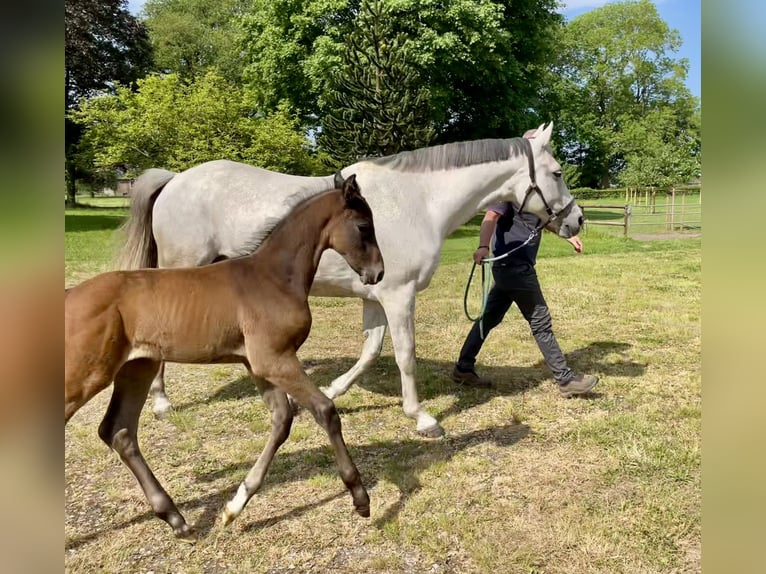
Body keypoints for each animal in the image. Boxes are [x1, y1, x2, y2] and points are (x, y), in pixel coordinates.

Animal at [67, 174, 384, 540]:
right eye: (364, 226)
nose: (378, 273)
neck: (274, 277)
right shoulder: (274, 359)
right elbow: (325, 410)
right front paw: (360, 498)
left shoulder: (259, 364)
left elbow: (282, 421)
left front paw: (234, 508)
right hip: (87, 375)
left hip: (137, 369)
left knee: (118, 431)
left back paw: (176, 519)